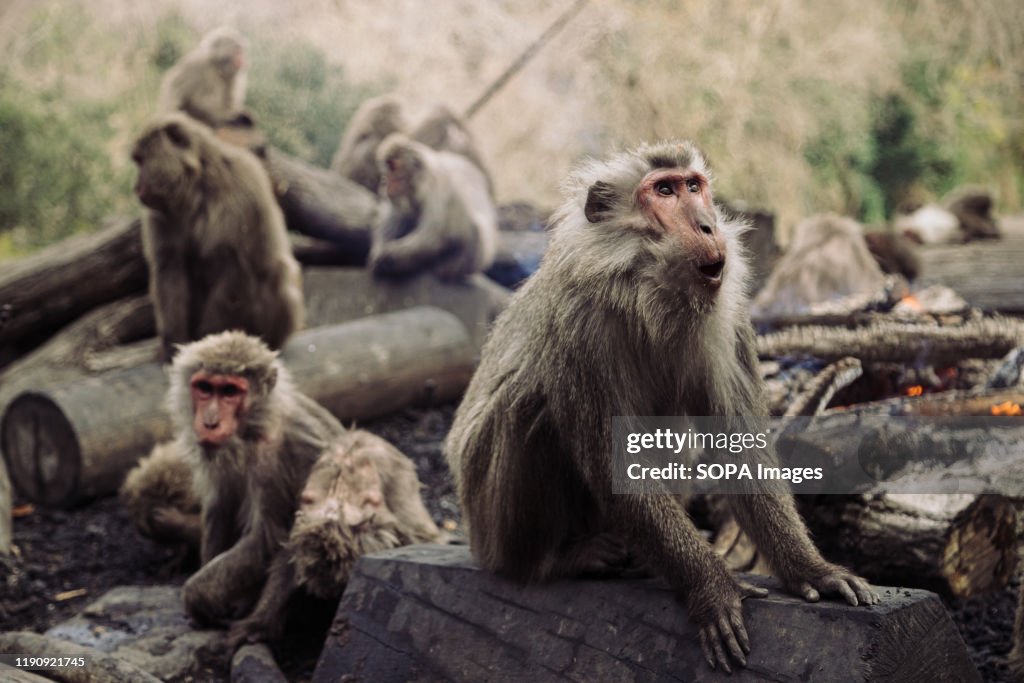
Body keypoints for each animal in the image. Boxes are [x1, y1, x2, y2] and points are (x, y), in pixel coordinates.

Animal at [132, 113, 304, 361]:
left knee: (275, 270)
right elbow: (170, 268)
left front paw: (210, 339)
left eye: (142, 161)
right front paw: (173, 343)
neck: (195, 188)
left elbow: (234, 266)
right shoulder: (158, 215)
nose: (136, 187)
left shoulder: (242, 192)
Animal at [172, 331, 346, 628]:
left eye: (230, 392)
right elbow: (221, 509)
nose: (210, 422)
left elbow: (272, 538)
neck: (253, 429)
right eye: (205, 388)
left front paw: (197, 596)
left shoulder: (285, 455)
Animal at [226, 428, 439, 649]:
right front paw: (259, 623)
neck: (339, 493)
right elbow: (288, 557)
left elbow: (419, 538)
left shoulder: (394, 492)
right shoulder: (307, 513)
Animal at [369, 133, 498, 281]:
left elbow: (433, 235)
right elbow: (393, 220)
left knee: (473, 229)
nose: (384, 182)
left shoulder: (436, 191)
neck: (421, 186)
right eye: (387, 167)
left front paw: (389, 257)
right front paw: (379, 251)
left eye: (394, 167)